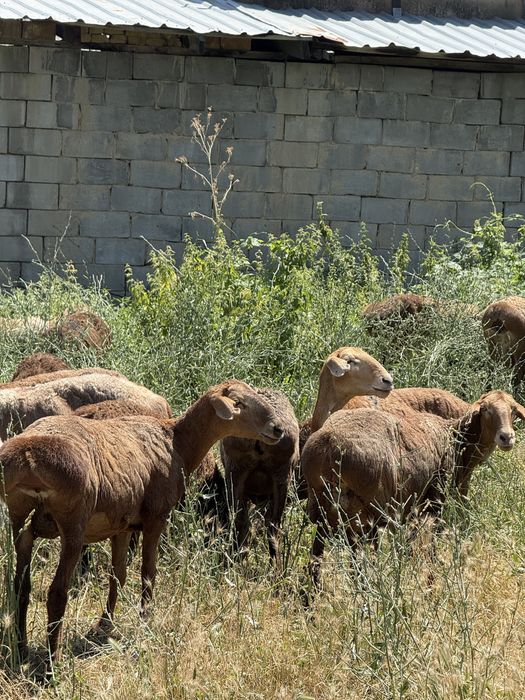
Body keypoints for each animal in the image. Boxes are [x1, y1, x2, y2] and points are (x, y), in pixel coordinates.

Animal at [0, 380, 285, 664]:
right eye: (239, 403)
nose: (278, 429)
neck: (177, 441)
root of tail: (28, 459)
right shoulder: (155, 518)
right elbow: (148, 573)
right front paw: (145, 620)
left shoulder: (122, 526)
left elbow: (118, 575)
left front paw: (104, 625)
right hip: (73, 525)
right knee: (57, 593)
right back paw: (53, 661)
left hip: (20, 520)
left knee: (20, 587)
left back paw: (21, 648)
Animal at [302, 390, 525, 587]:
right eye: (485, 409)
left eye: (513, 410)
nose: (507, 437)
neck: (456, 438)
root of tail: (330, 449)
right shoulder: (435, 499)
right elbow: (431, 541)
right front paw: (431, 576)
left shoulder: (411, 507)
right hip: (366, 513)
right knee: (360, 566)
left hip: (322, 511)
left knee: (315, 564)